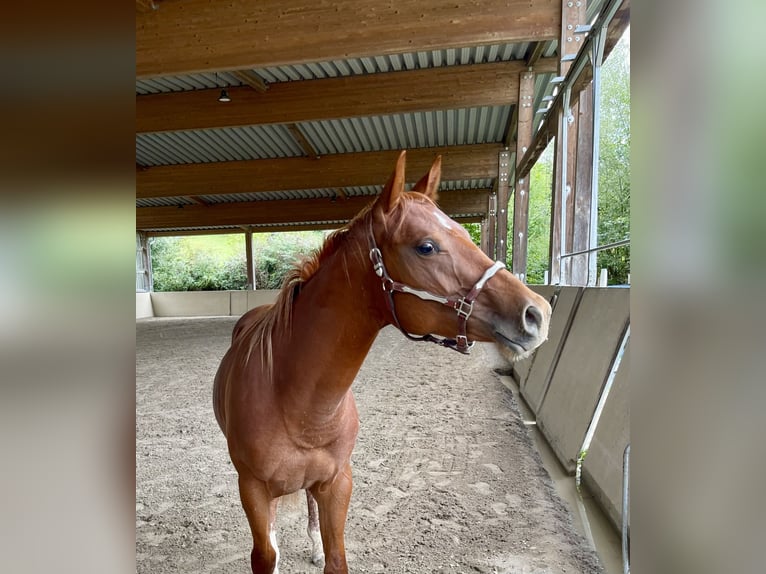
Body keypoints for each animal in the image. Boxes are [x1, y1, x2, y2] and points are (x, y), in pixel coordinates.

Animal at [213, 150, 551, 573]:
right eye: (426, 246)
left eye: (462, 231)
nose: (537, 313)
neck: (296, 404)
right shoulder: (253, 489)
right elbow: (265, 555)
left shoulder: (338, 483)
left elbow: (335, 558)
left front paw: (320, 549)